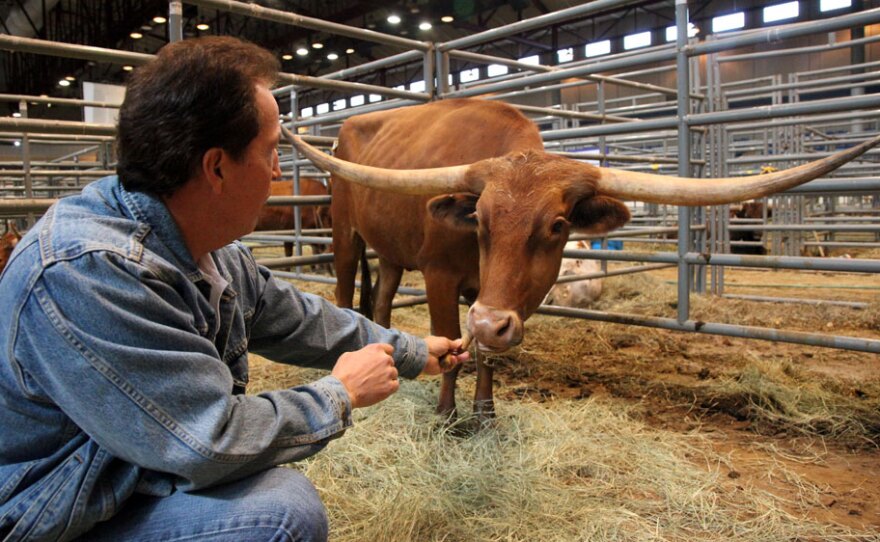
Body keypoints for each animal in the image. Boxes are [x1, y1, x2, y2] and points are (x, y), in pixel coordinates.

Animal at [286, 98, 876, 420]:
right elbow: (453, 342)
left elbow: (486, 352)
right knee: (345, 292)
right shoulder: (441, 277)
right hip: (345, 236)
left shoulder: (493, 300)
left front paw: (484, 414)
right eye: (481, 219)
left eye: (557, 226)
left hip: (389, 251)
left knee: (381, 301)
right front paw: (448, 414)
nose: (491, 322)